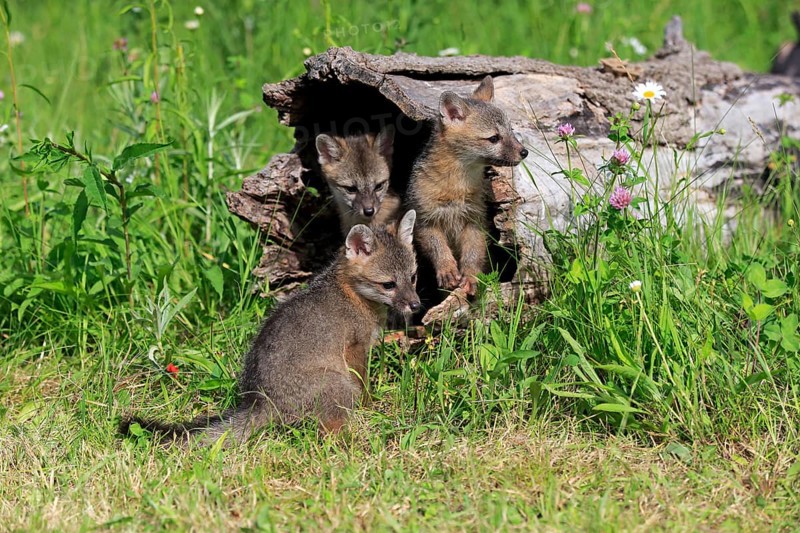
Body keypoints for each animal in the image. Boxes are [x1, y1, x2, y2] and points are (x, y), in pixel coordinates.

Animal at [121, 210, 420, 445]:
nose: (416, 305)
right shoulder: (355, 349)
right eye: (389, 285)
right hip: (339, 385)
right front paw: (372, 406)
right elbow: (364, 385)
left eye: (414, 277)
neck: (352, 294)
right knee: (327, 433)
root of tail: (263, 401)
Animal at [407, 75, 528, 296]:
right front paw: (446, 268)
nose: (524, 152)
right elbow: (438, 249)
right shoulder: (425, 221)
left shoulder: (475, 221)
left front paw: (471, 277)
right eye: (494, 138)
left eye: (511, 131)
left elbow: (473, 253)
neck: (456, 186)